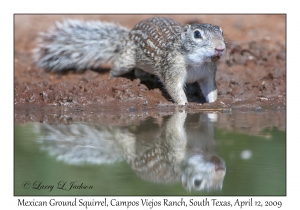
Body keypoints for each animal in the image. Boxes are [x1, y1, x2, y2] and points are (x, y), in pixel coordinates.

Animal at [33, 17, 225, 105]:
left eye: (221, 31)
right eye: (197, 34)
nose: (220, 48)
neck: (198, 62)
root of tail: (127, 35)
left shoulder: (208, 73)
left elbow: (210, 89)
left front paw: (215, 102)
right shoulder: (172, 68)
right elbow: (174, 89)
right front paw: (184, 104)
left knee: (140, 71)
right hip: (125, 60)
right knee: (116, 67)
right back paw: (115, 79)